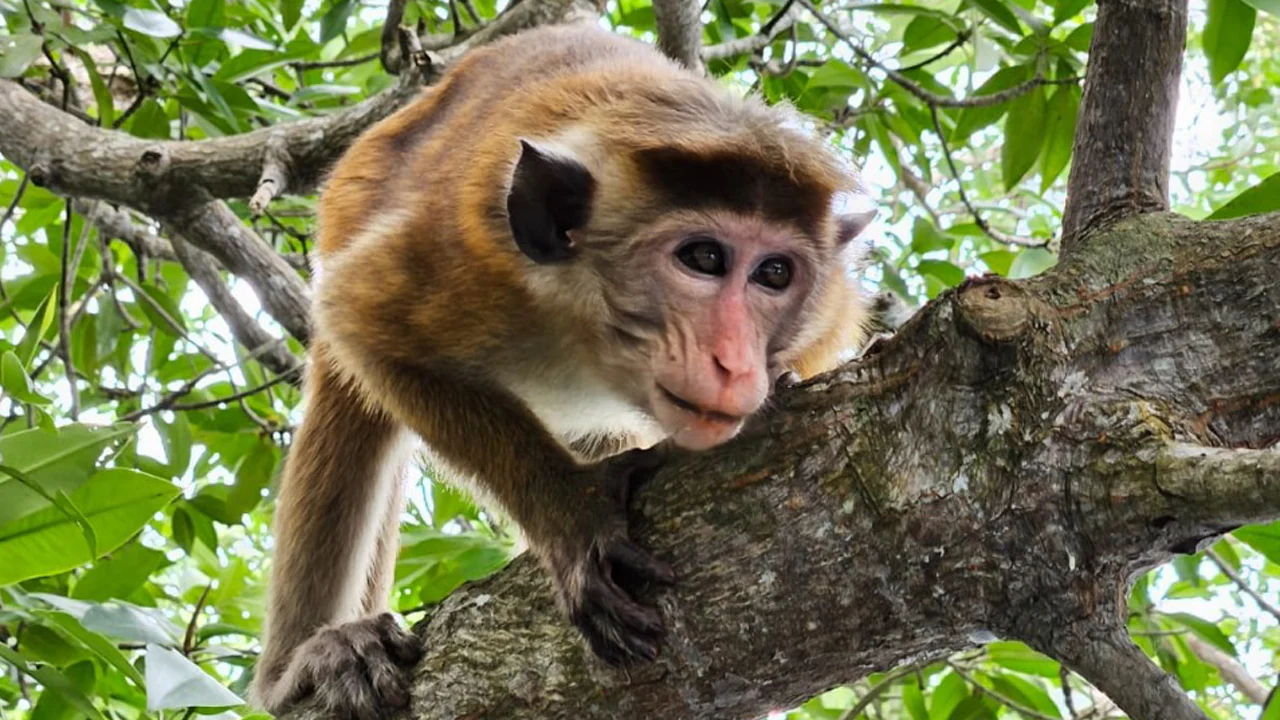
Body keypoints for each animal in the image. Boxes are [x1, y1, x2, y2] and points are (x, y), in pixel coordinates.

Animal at [251, 21, 875, 719]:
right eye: (704, 258)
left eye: (774, 273)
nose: (735, 364)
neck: (591, 340)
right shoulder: (463, 254)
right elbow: (363, 322)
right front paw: (570, 513)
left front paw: (784, 386)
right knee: (351, 401)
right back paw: (302, 663)